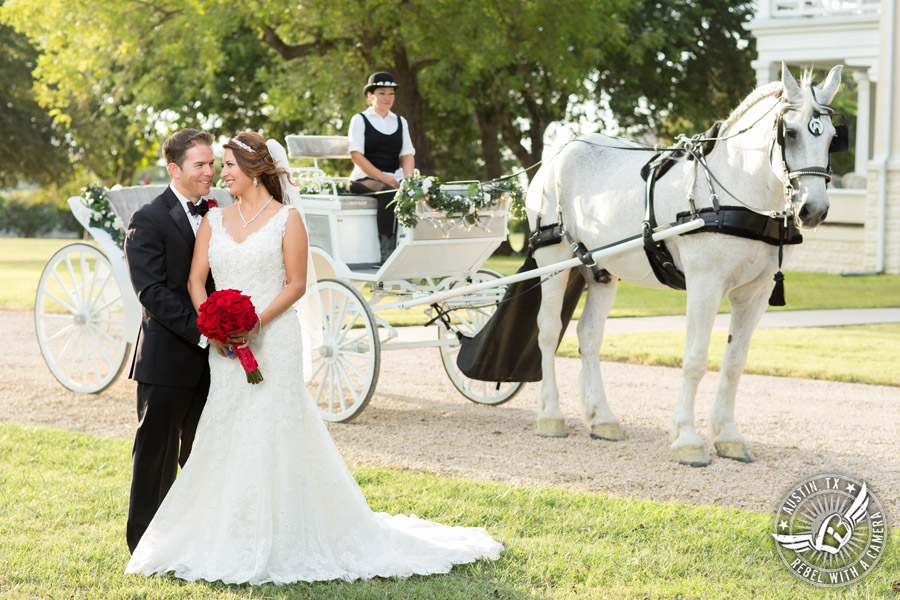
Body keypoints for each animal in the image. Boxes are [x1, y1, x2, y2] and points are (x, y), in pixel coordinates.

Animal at [532, 63, 840, 466]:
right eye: (789, 133)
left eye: (832, 137)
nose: (813, 209)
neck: (736, 192)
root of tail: (558, 152)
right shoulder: (705, 284)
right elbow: (695, 358)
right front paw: (688, 439)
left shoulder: (755, 292)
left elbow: (735, 361)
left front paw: (727, 435)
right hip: (552, 259)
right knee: (549, 331)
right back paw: (551, 415)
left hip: (600, 270)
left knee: (589, 335)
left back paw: (602, 418)